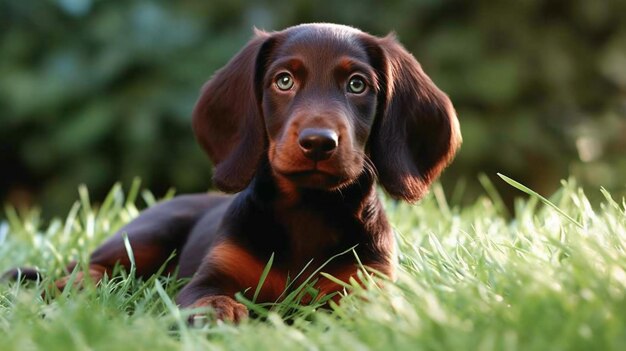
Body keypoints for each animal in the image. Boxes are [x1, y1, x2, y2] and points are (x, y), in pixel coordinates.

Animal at [3, 23, 458, 324]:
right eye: (284, 80)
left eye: (358, 85)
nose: (318, 142)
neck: (308, 210)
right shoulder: (209, 278)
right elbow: (209, 300)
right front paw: (218, 319)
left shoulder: (367, 282)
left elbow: (363, 309)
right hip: (148, 233)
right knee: (91, 267)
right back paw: (72, 288)